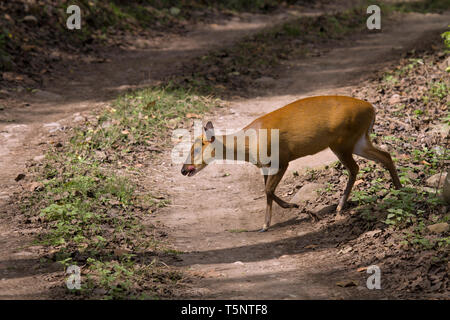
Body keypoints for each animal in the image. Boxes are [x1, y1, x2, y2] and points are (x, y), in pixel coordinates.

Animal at [181, 96, 402, 231]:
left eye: (196, 148)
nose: (183, 169)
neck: (249, 145)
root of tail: (371, 109)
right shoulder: (265, 166)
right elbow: (267, 191)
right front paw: (281, 215)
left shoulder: (282, 159)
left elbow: (268, 190)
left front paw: (293, 211)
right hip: (357, 140)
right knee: (384, 156)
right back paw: (399, 190)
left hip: (343, 142)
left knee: (356, 167)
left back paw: (341, 207)